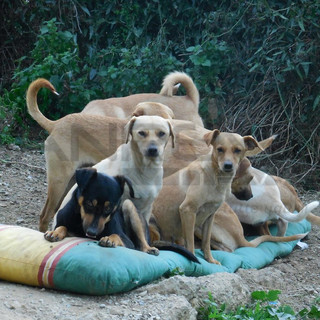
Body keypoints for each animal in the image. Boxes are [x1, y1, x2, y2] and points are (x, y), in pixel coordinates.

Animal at [151, 129, 264, 264]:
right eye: (219, 149)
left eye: (238, 150)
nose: (228, 165)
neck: (217, 178)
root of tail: (241, 237)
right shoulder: (187, 210)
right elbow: (190, 242)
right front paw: (193, 258)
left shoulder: (209, 216)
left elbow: (206, 242)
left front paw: (210, 260)